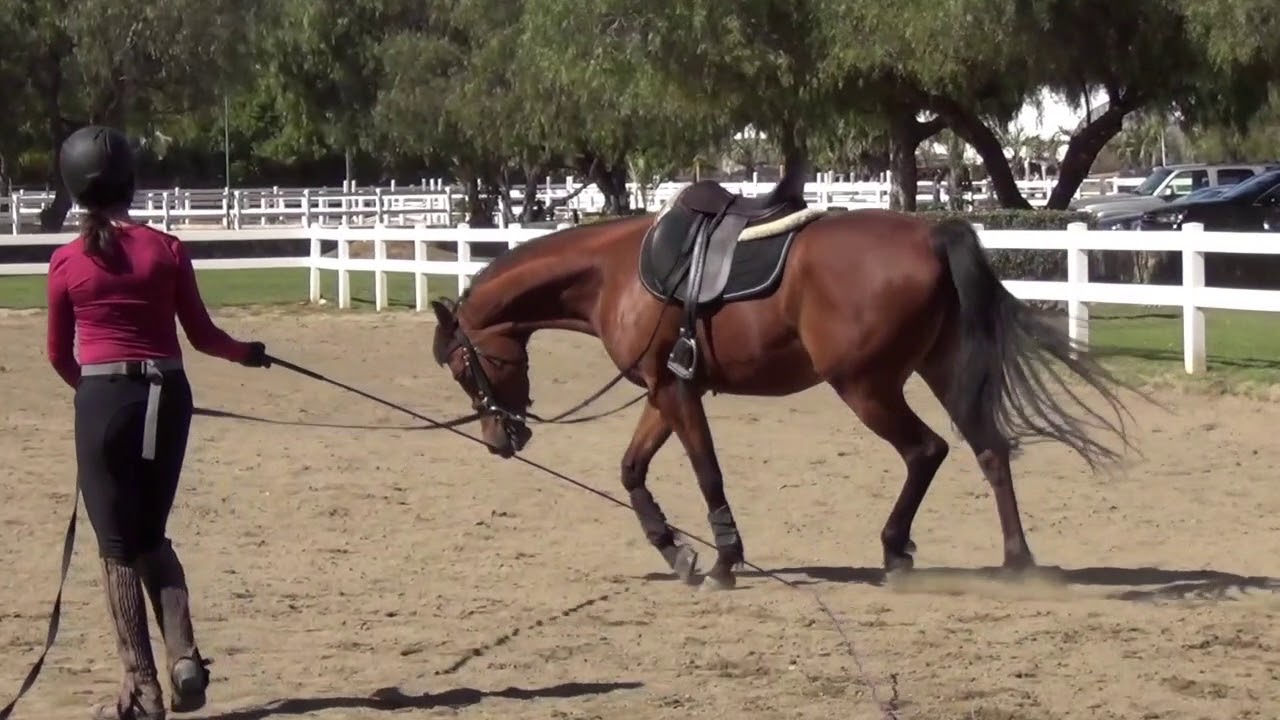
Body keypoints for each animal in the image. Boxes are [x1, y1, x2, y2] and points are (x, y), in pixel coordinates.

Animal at [427, 173, 1137, 590]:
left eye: (463, 366)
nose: (500, 439)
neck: (616, 273)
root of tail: (933, 232)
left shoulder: (676, 393)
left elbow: (707, 473)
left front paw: (721, 560)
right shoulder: (664, 390)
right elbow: (631, 471)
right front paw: (675, 552)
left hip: (865, 386)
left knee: (926, 450)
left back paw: (896, 550)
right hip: (939, 370)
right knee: (988, 449)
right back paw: (1016, 560)